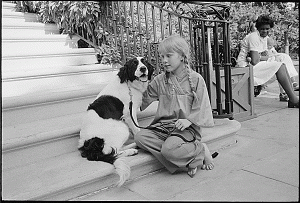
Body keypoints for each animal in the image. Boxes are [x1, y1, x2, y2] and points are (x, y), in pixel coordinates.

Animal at [78, 56, 155, 186]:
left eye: (144, 62)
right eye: (134, 64)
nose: (143, 69)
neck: (129, 85)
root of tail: (88, 144)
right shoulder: (129, 114)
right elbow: (137, 130)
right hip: (121, 127)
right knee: (111, 151)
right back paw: (131, 150)